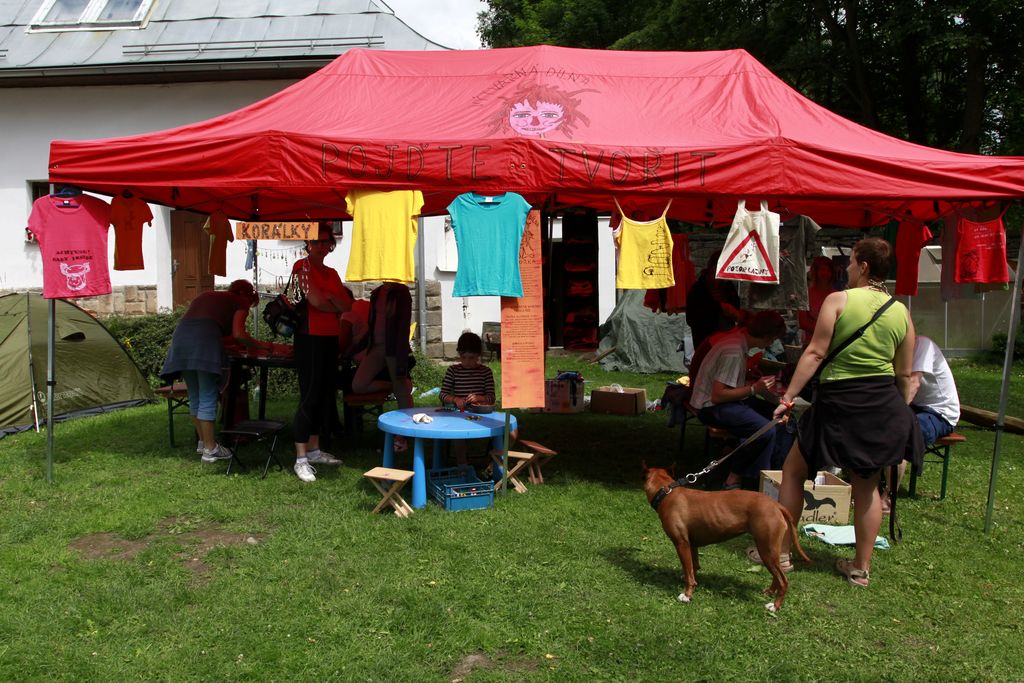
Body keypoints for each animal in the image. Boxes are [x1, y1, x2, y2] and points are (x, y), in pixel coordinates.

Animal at [643, 464, 811, 614]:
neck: (666, 492)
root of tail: (776, 505)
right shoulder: (691, 544)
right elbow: (693, 567)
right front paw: (693, 582)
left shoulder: (681, 544)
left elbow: (688, 572)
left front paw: (687, 595)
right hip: (771, 552)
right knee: (777, 575)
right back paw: (769, 592)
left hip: (766, 551)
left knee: (783, 580)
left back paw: (775, 606)